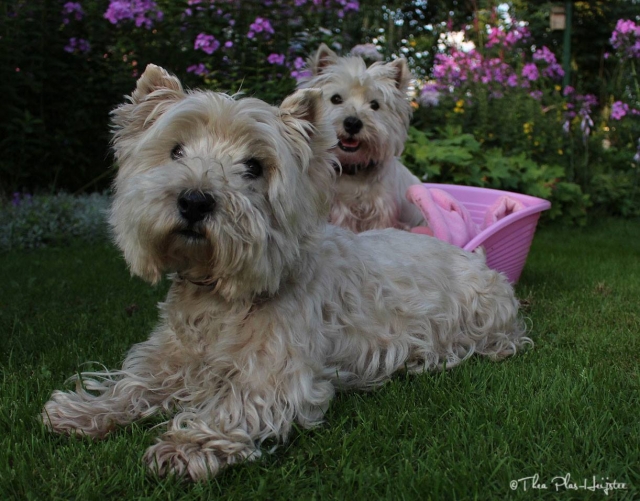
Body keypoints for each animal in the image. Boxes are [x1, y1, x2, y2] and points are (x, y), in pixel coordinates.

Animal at [41, 64, 531, 481]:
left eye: (254, 166)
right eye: (176, 151)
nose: (194, 200)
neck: (217, 293)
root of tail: (476, 258)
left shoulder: (277, 374)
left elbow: (237, 404)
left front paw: (187, 445)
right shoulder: (168, 355)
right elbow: (134, 382)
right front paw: (82, 411)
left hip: (480, 319)